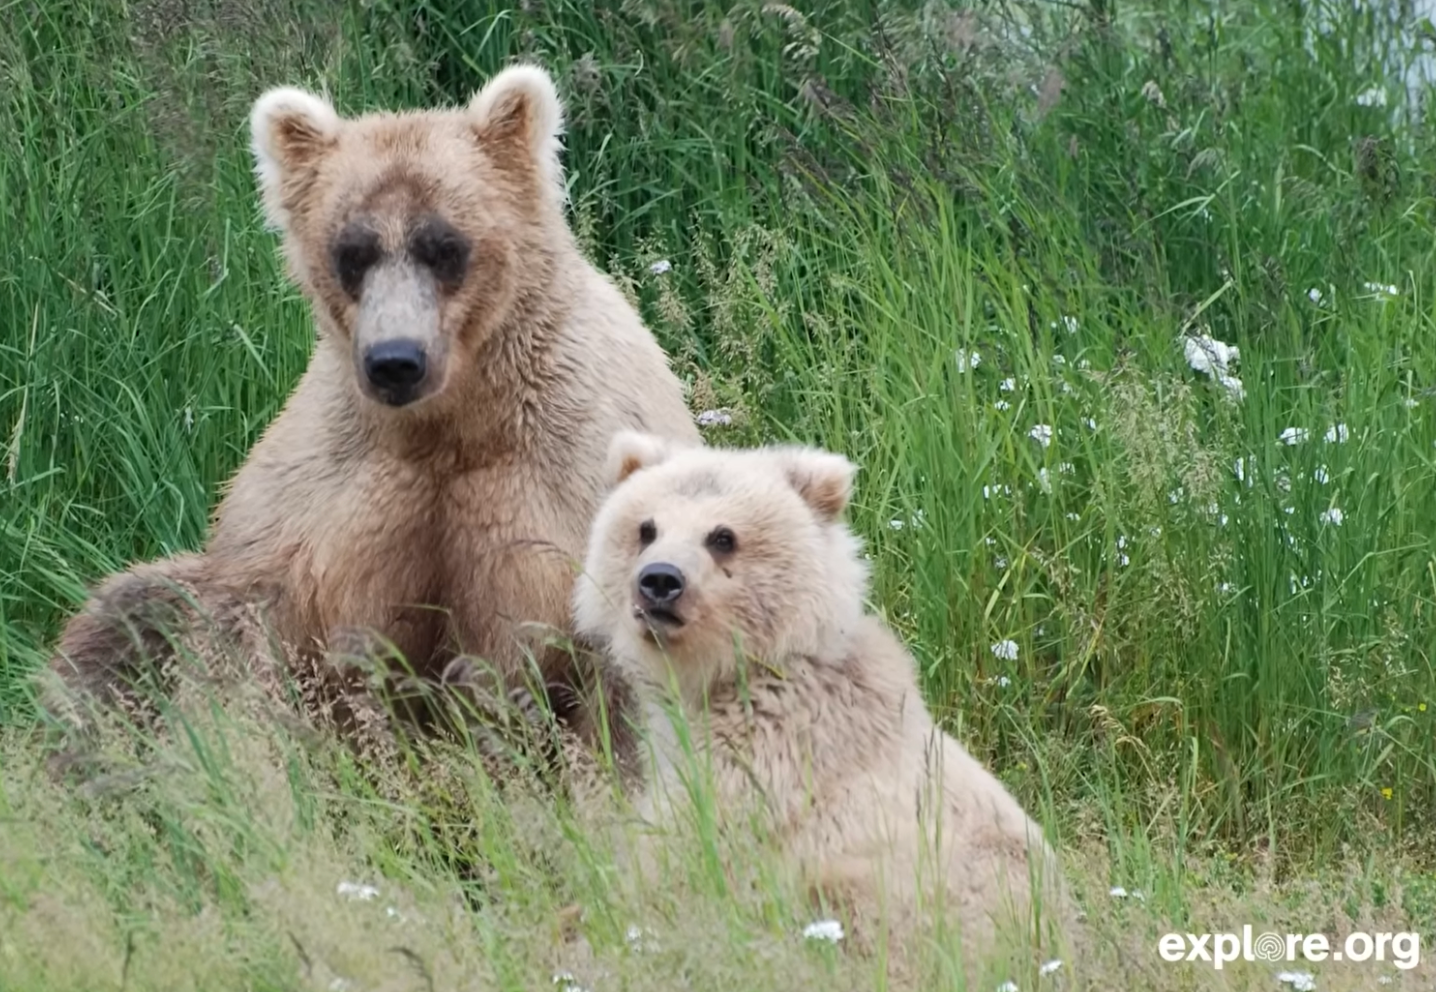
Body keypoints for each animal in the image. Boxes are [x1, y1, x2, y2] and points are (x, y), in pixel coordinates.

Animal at [40, 63, 702, 780]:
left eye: (444, 245)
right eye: (351, 251)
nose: (395, 361)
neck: (452, 421)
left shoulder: (563, 473)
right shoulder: (329, 490)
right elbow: (244, 643)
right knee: (124, 619)